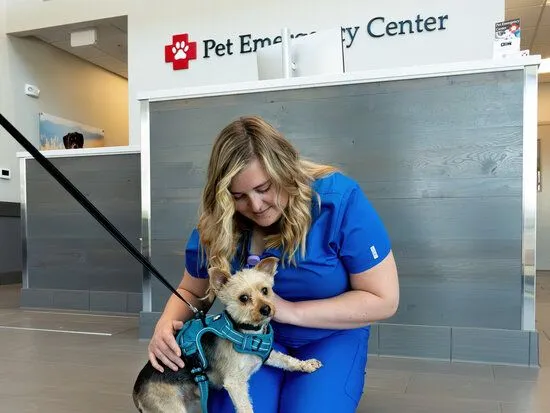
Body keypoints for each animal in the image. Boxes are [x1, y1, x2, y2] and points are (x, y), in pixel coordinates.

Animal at [133, 256, 324, 410]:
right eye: (243, 298)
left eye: (265, 290)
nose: (266, 309)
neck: (246, 332)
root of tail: (136, 392)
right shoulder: (235, 383)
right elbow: (245, 407)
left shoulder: (266, 354)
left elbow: (286, 360)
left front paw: (305, 364)